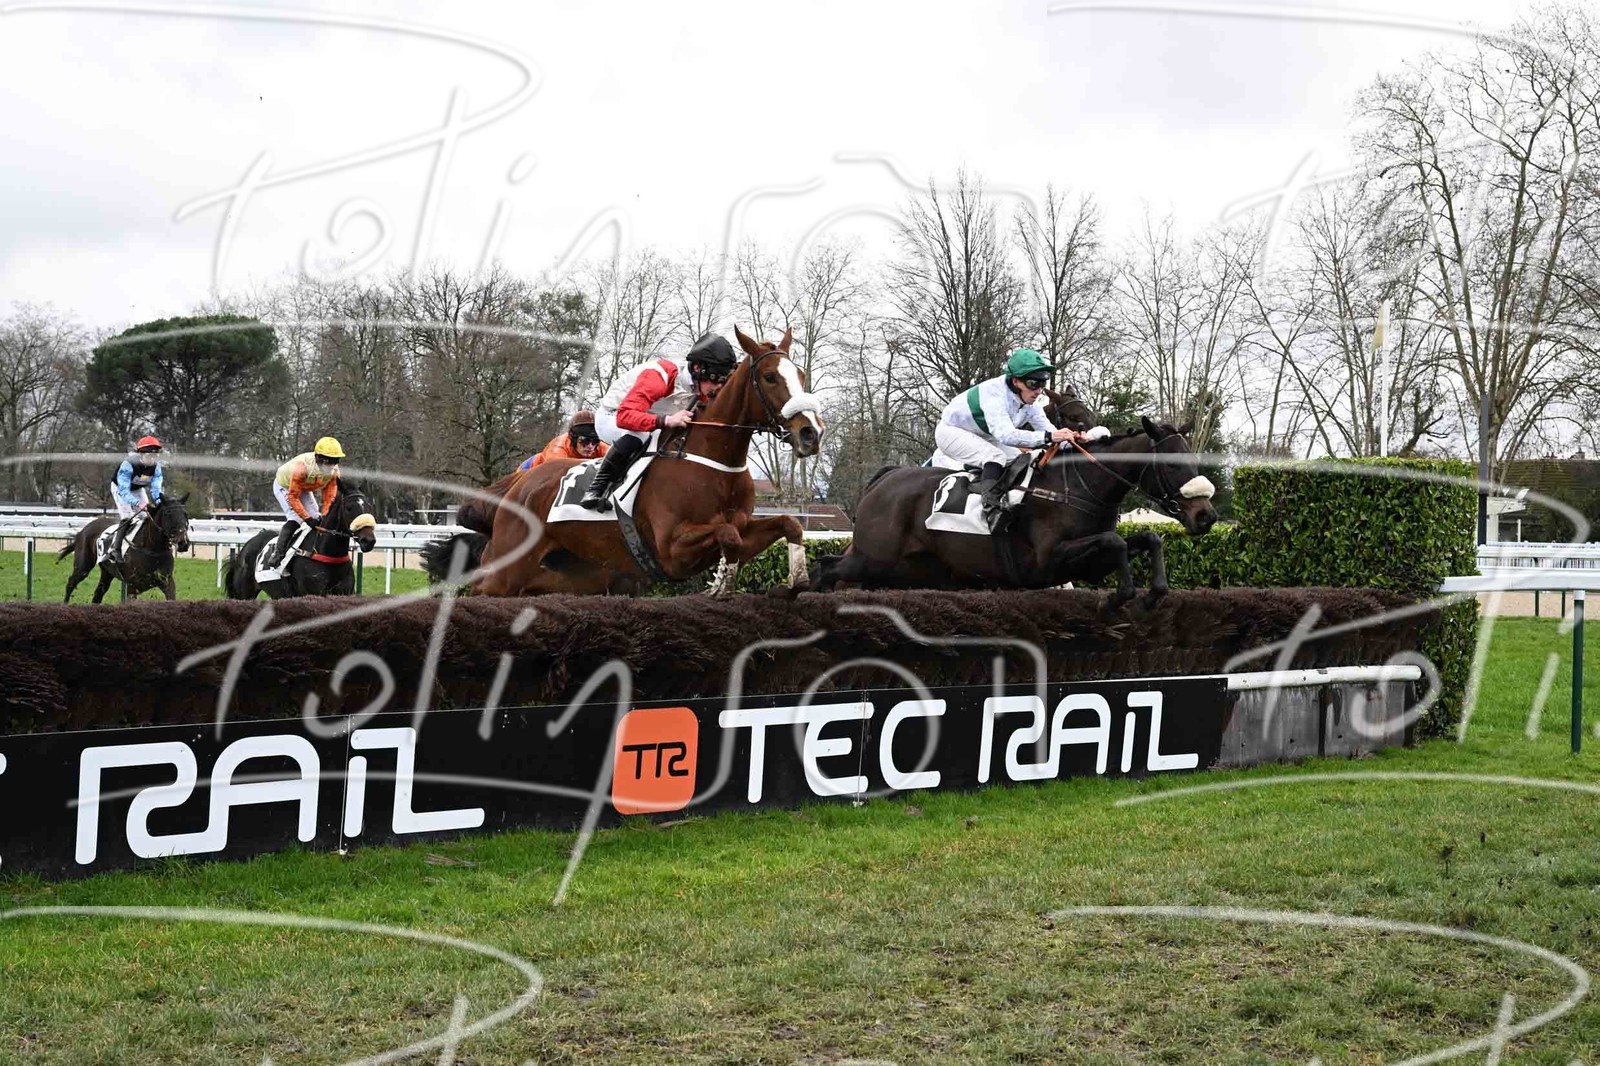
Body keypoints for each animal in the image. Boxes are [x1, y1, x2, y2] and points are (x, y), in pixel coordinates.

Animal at [58, 494, 192, 603]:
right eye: (168, 513)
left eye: (185, 514)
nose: (183, 542)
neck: (153, 548)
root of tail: (83, 530)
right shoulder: (133, 586)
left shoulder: (167, 581)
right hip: (82, 567)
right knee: (71, 583)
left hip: (107, 572)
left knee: (98, 594)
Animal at [224, 483, 378, 599]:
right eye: (348, 508)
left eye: (369, 507)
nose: (368, 540)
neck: (326, 553)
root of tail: (245, 548)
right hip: (244, 594)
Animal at [422, 326, 824, 596]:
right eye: (770, 377)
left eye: (801, 375)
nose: (811, 433)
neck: (712, 461)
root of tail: (521, 482)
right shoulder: (671, 550)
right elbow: (728, 535)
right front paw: (721, 584)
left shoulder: (741, 526)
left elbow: (786, 524)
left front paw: (798, 578)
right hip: (506, 569)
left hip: (568, 575)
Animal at [815, 417, 1219, 609]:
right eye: (1171, 464)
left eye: (1195, 459)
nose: (1206, 516)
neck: (1076, 488)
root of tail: (886, 478)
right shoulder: (1047, 562)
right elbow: (1116, 542)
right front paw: (1119, 598)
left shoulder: (1087, 566)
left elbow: (1148, 539)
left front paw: (1150, 596)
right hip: (872, 558)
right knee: (826, 569)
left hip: (904, 570)